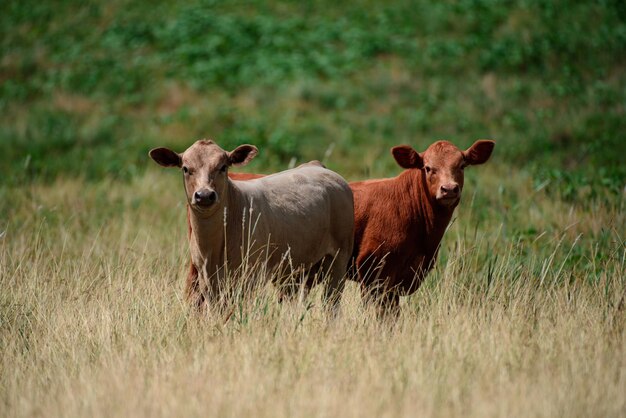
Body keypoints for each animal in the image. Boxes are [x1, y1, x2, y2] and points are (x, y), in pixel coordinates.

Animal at [151, 140, 354, 310]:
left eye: (223, 167)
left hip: (339, 257)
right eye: (186, 169)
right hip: (294, 267)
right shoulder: (206, 278)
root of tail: (317, 166)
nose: (205, 195)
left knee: (331, 303)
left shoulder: (250, 275)